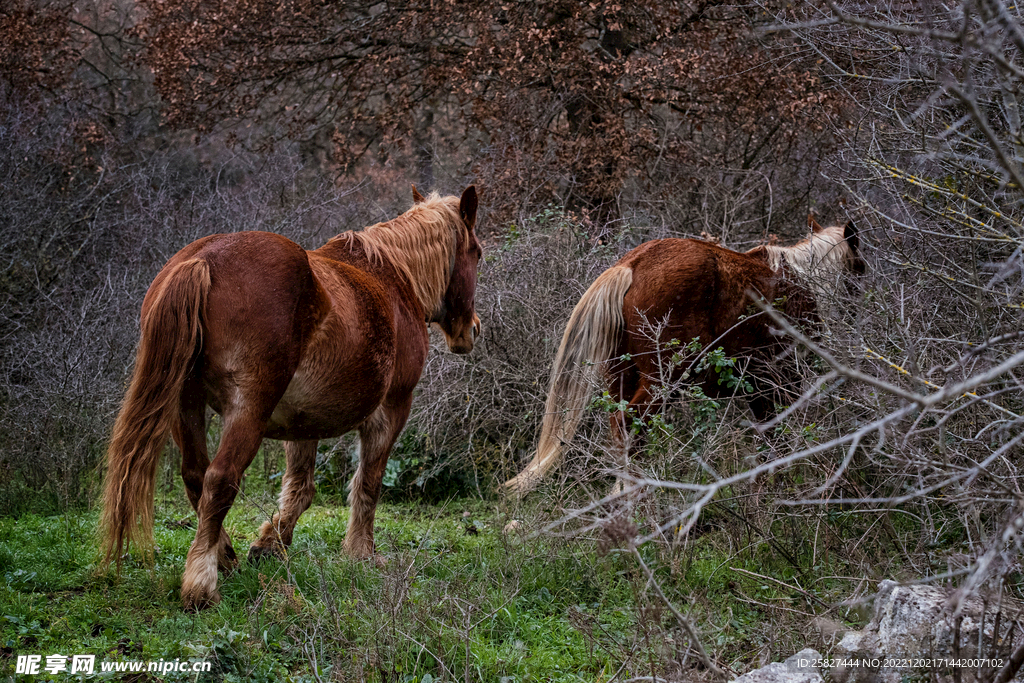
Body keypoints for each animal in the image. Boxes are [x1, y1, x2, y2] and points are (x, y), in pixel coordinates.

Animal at [97, 184, 481, 606]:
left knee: (195, 476)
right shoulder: (392, 409)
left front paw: (269, 545)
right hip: (247, 410)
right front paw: (361, 553)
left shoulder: (302, 423)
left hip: (187, 405)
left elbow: (300, 489)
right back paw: (202, 584)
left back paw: (224, 556)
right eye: (477, 253)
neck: (394, 279)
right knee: (220, 479)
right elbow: (368, 483)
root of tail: (203, 259)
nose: (472, 330)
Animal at [503, 219, 864, 497]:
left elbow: (768, 438)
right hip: (664, 378)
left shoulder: (758, 387)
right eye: (860, 269)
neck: (802, 281)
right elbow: (780, 438)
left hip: (620, 376)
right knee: (630, 424)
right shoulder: (783, 381)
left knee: (619, 428)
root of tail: (632, 265)